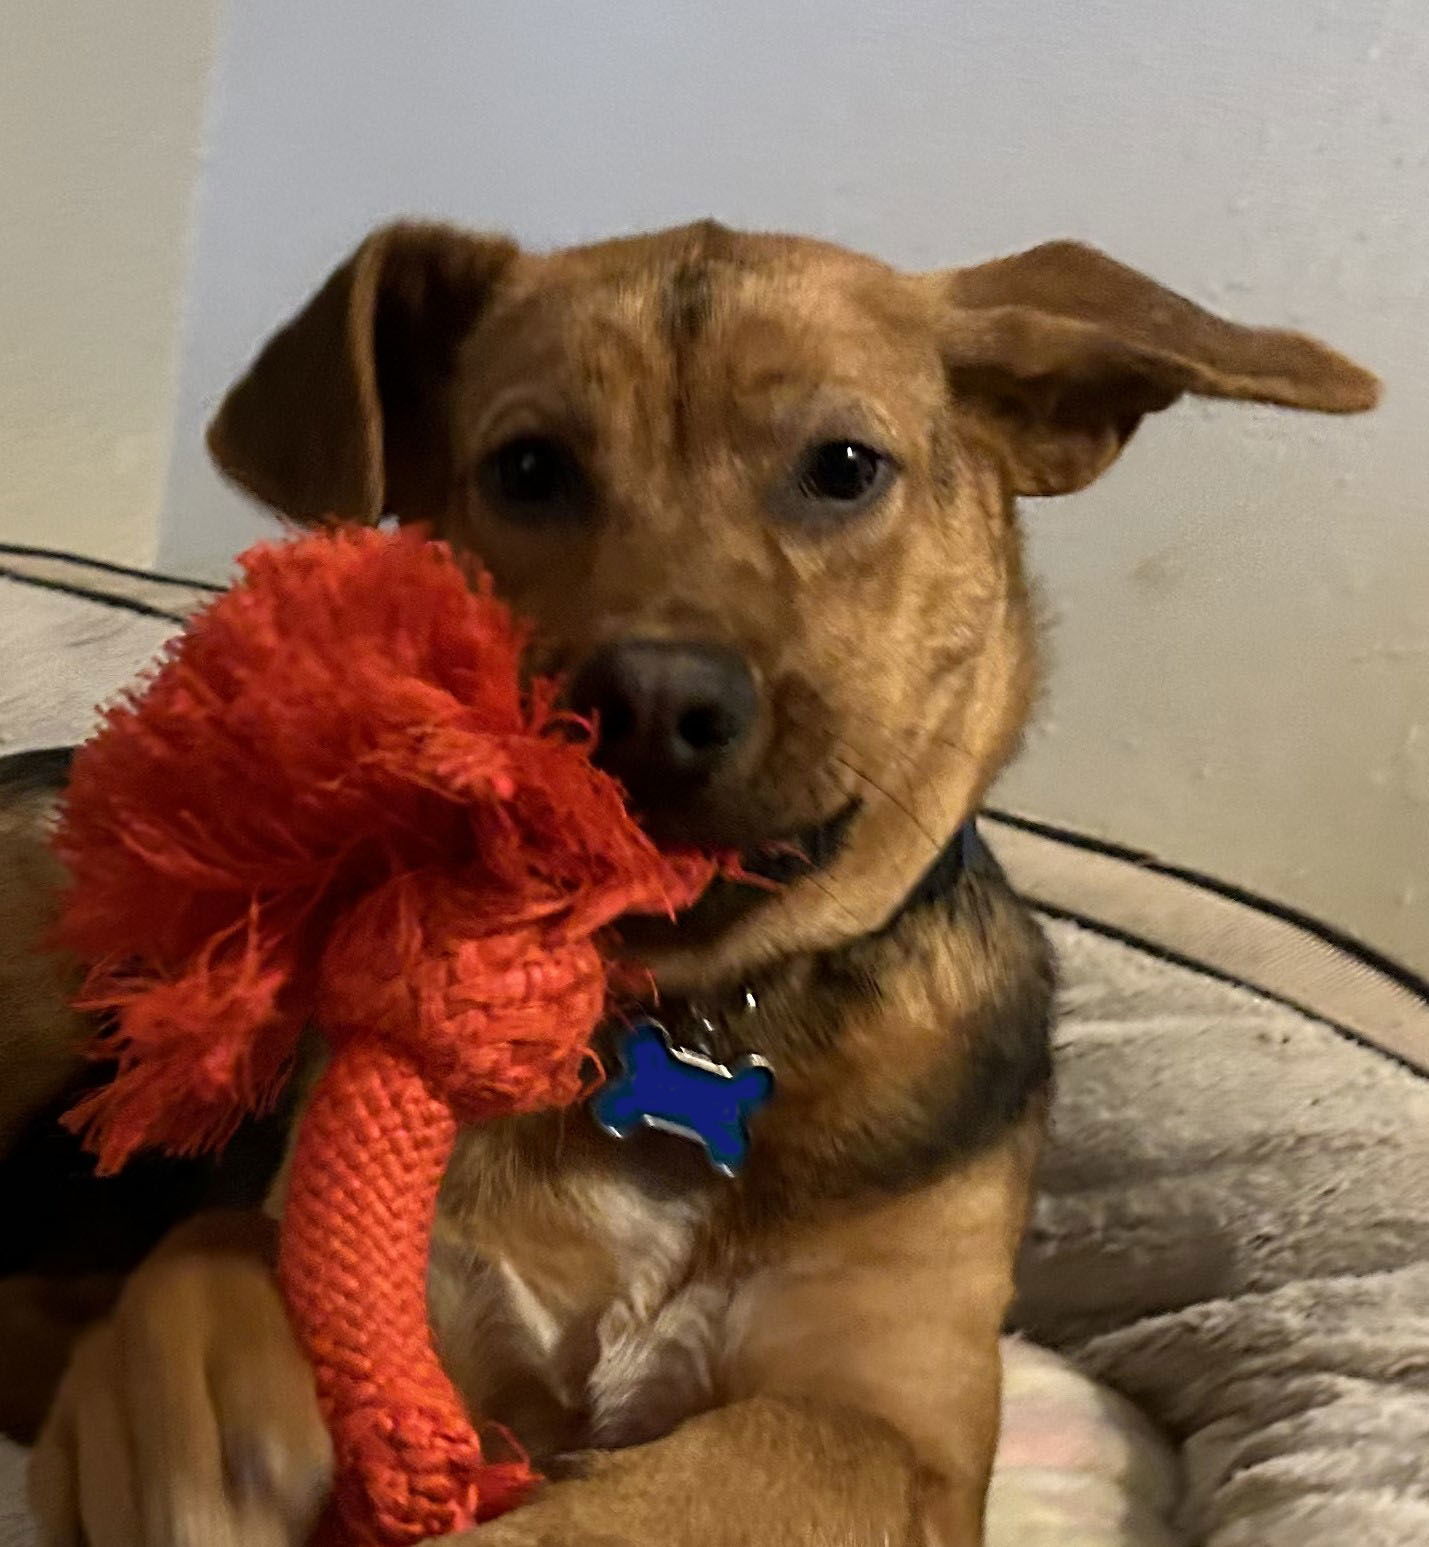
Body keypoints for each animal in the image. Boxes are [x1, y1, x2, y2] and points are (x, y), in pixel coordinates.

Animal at [5, 221, 1379, 1547]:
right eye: (527, 469)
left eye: (842, 465)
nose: (650, 709)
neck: (700, 1012)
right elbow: (217, 1258)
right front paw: (200, 1424)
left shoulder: (906, 1426)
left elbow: (750, 1459)